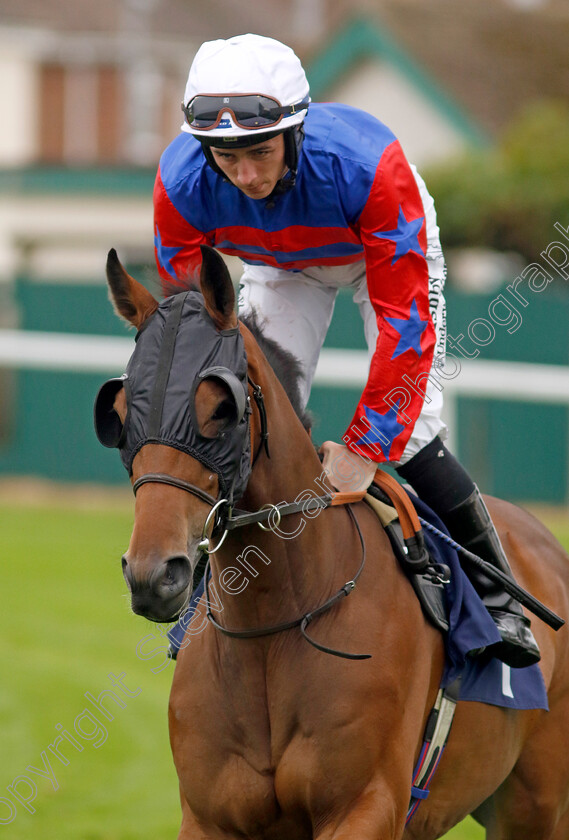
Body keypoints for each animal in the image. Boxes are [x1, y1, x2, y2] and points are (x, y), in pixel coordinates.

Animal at [97, 244, 569, 840]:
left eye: (221, 407)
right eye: (118, 414)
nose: (153, 575)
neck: (274, 626)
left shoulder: (365, 806)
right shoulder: (209, 818)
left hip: (536, 806)